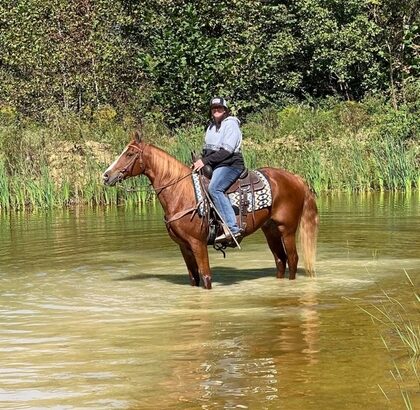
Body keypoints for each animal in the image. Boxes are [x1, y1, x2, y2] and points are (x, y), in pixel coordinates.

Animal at [102, 131, 318, 288]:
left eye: (129, 154)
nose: (106, 175)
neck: (181, 192)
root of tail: (296, 178)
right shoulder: (184, 246)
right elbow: (194, 279)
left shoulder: (198, 243)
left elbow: (205, 277)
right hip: (270, 229)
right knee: (281, 260)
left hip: (287, 229)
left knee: (293, 259)